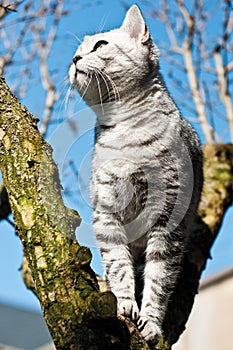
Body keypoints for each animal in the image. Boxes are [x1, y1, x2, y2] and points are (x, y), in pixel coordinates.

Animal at [68, 4, 202, 344]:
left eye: (100, 45)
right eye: (77, 51)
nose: (74, 59)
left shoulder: (169, 219)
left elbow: (159, 280)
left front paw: (151, 323)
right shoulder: (106, 212)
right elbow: (117, 264)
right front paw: (124, 302)